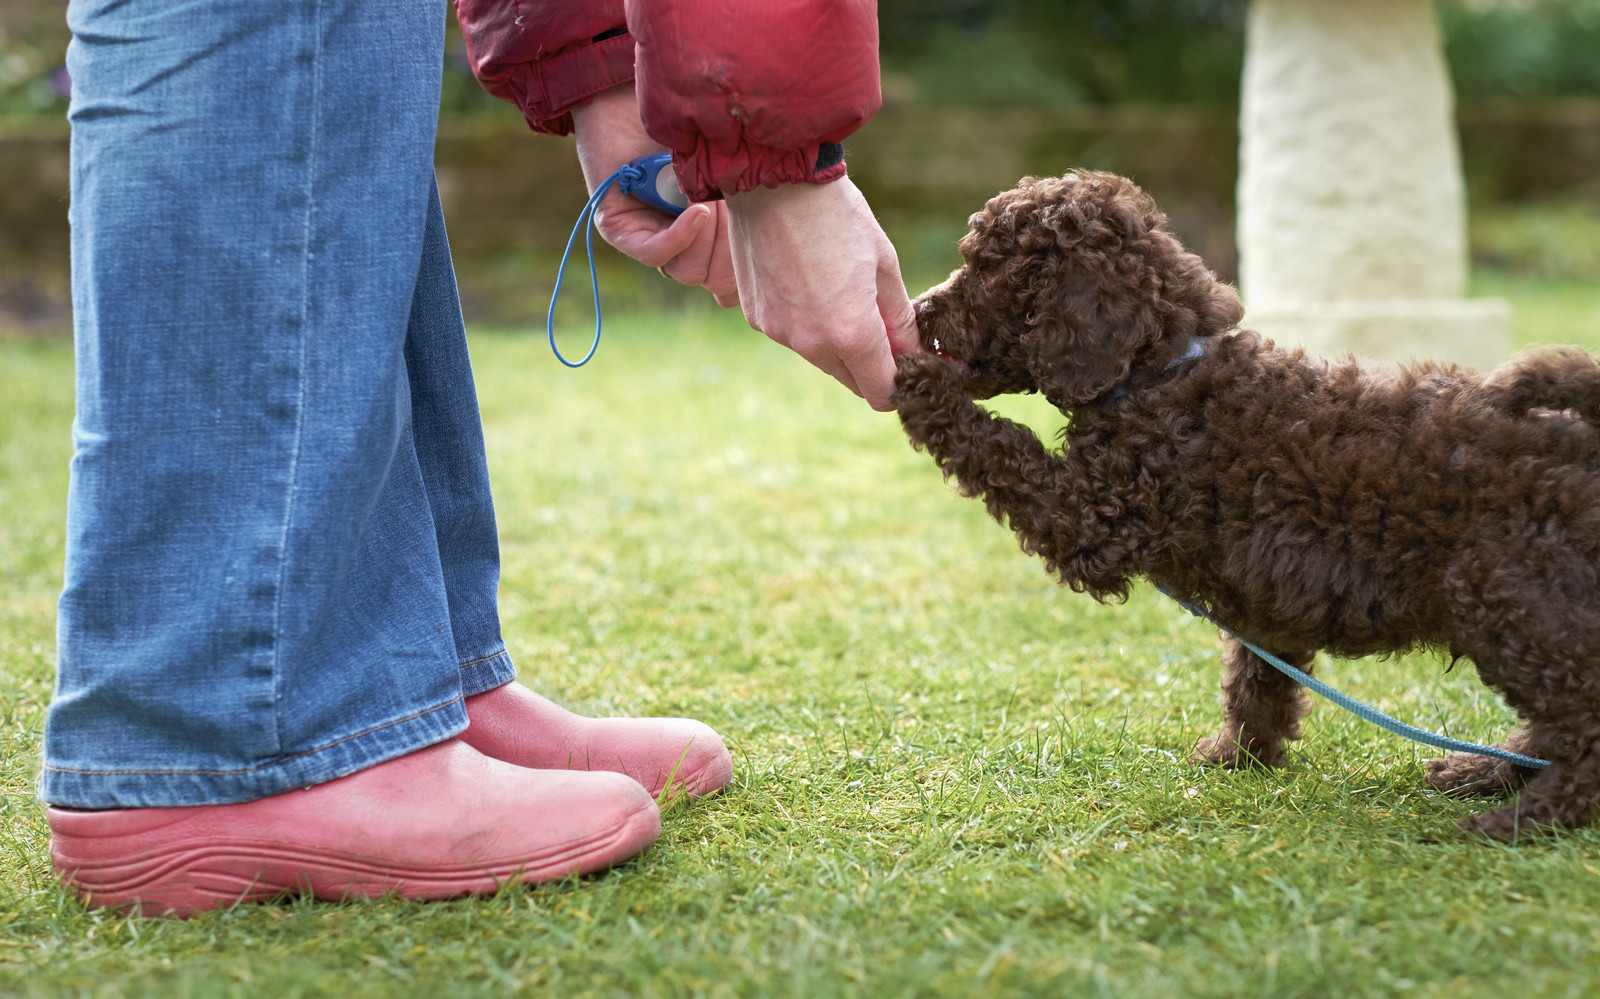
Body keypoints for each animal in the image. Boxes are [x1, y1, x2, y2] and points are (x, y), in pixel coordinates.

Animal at [896, 168, 1600, 838]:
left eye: (994, 270)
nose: (920, 310)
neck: (1161, 371)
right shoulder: (1269, 600)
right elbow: (1255, 677)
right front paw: (1239, 757)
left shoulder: (1094, 516)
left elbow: (1001, 447)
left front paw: (918, 384)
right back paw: (1483, 774)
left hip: (1511, 600)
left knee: (1583, 720)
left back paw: (1523, 818)